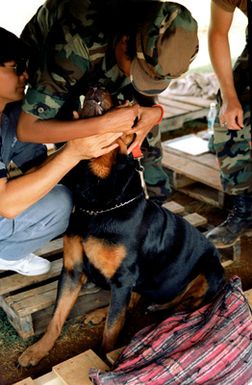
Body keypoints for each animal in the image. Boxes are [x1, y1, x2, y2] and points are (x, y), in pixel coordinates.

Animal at [18, 88, 225, 366]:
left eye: (125, 103)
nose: (97, 87)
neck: (98, 202)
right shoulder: (72, 270)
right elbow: (56, 317)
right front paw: (37, 351)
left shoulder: (123, 278)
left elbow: (111, 330)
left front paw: (107, 359)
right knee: (136, 298)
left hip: (210, 270)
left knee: (184, 304)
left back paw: (161, 308)